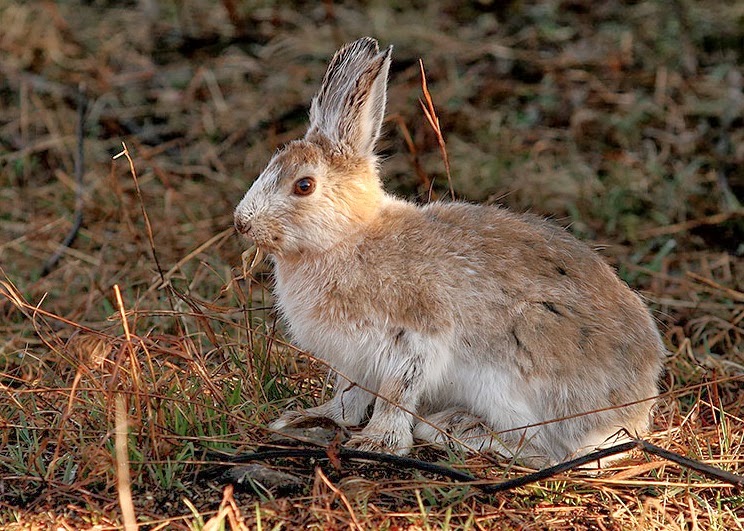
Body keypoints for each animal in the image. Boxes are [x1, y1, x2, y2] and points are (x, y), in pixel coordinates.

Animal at [234, 37, 666, 466]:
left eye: (304, 186)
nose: (242, 222)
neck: (347, 237)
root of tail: (637, 409)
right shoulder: (355, 361)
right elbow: (348, 395)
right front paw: (309, 419)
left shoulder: (416, 337)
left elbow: (396, 394)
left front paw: (378, 443)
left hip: (523, 366)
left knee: (547, 451)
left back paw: (454, 429)